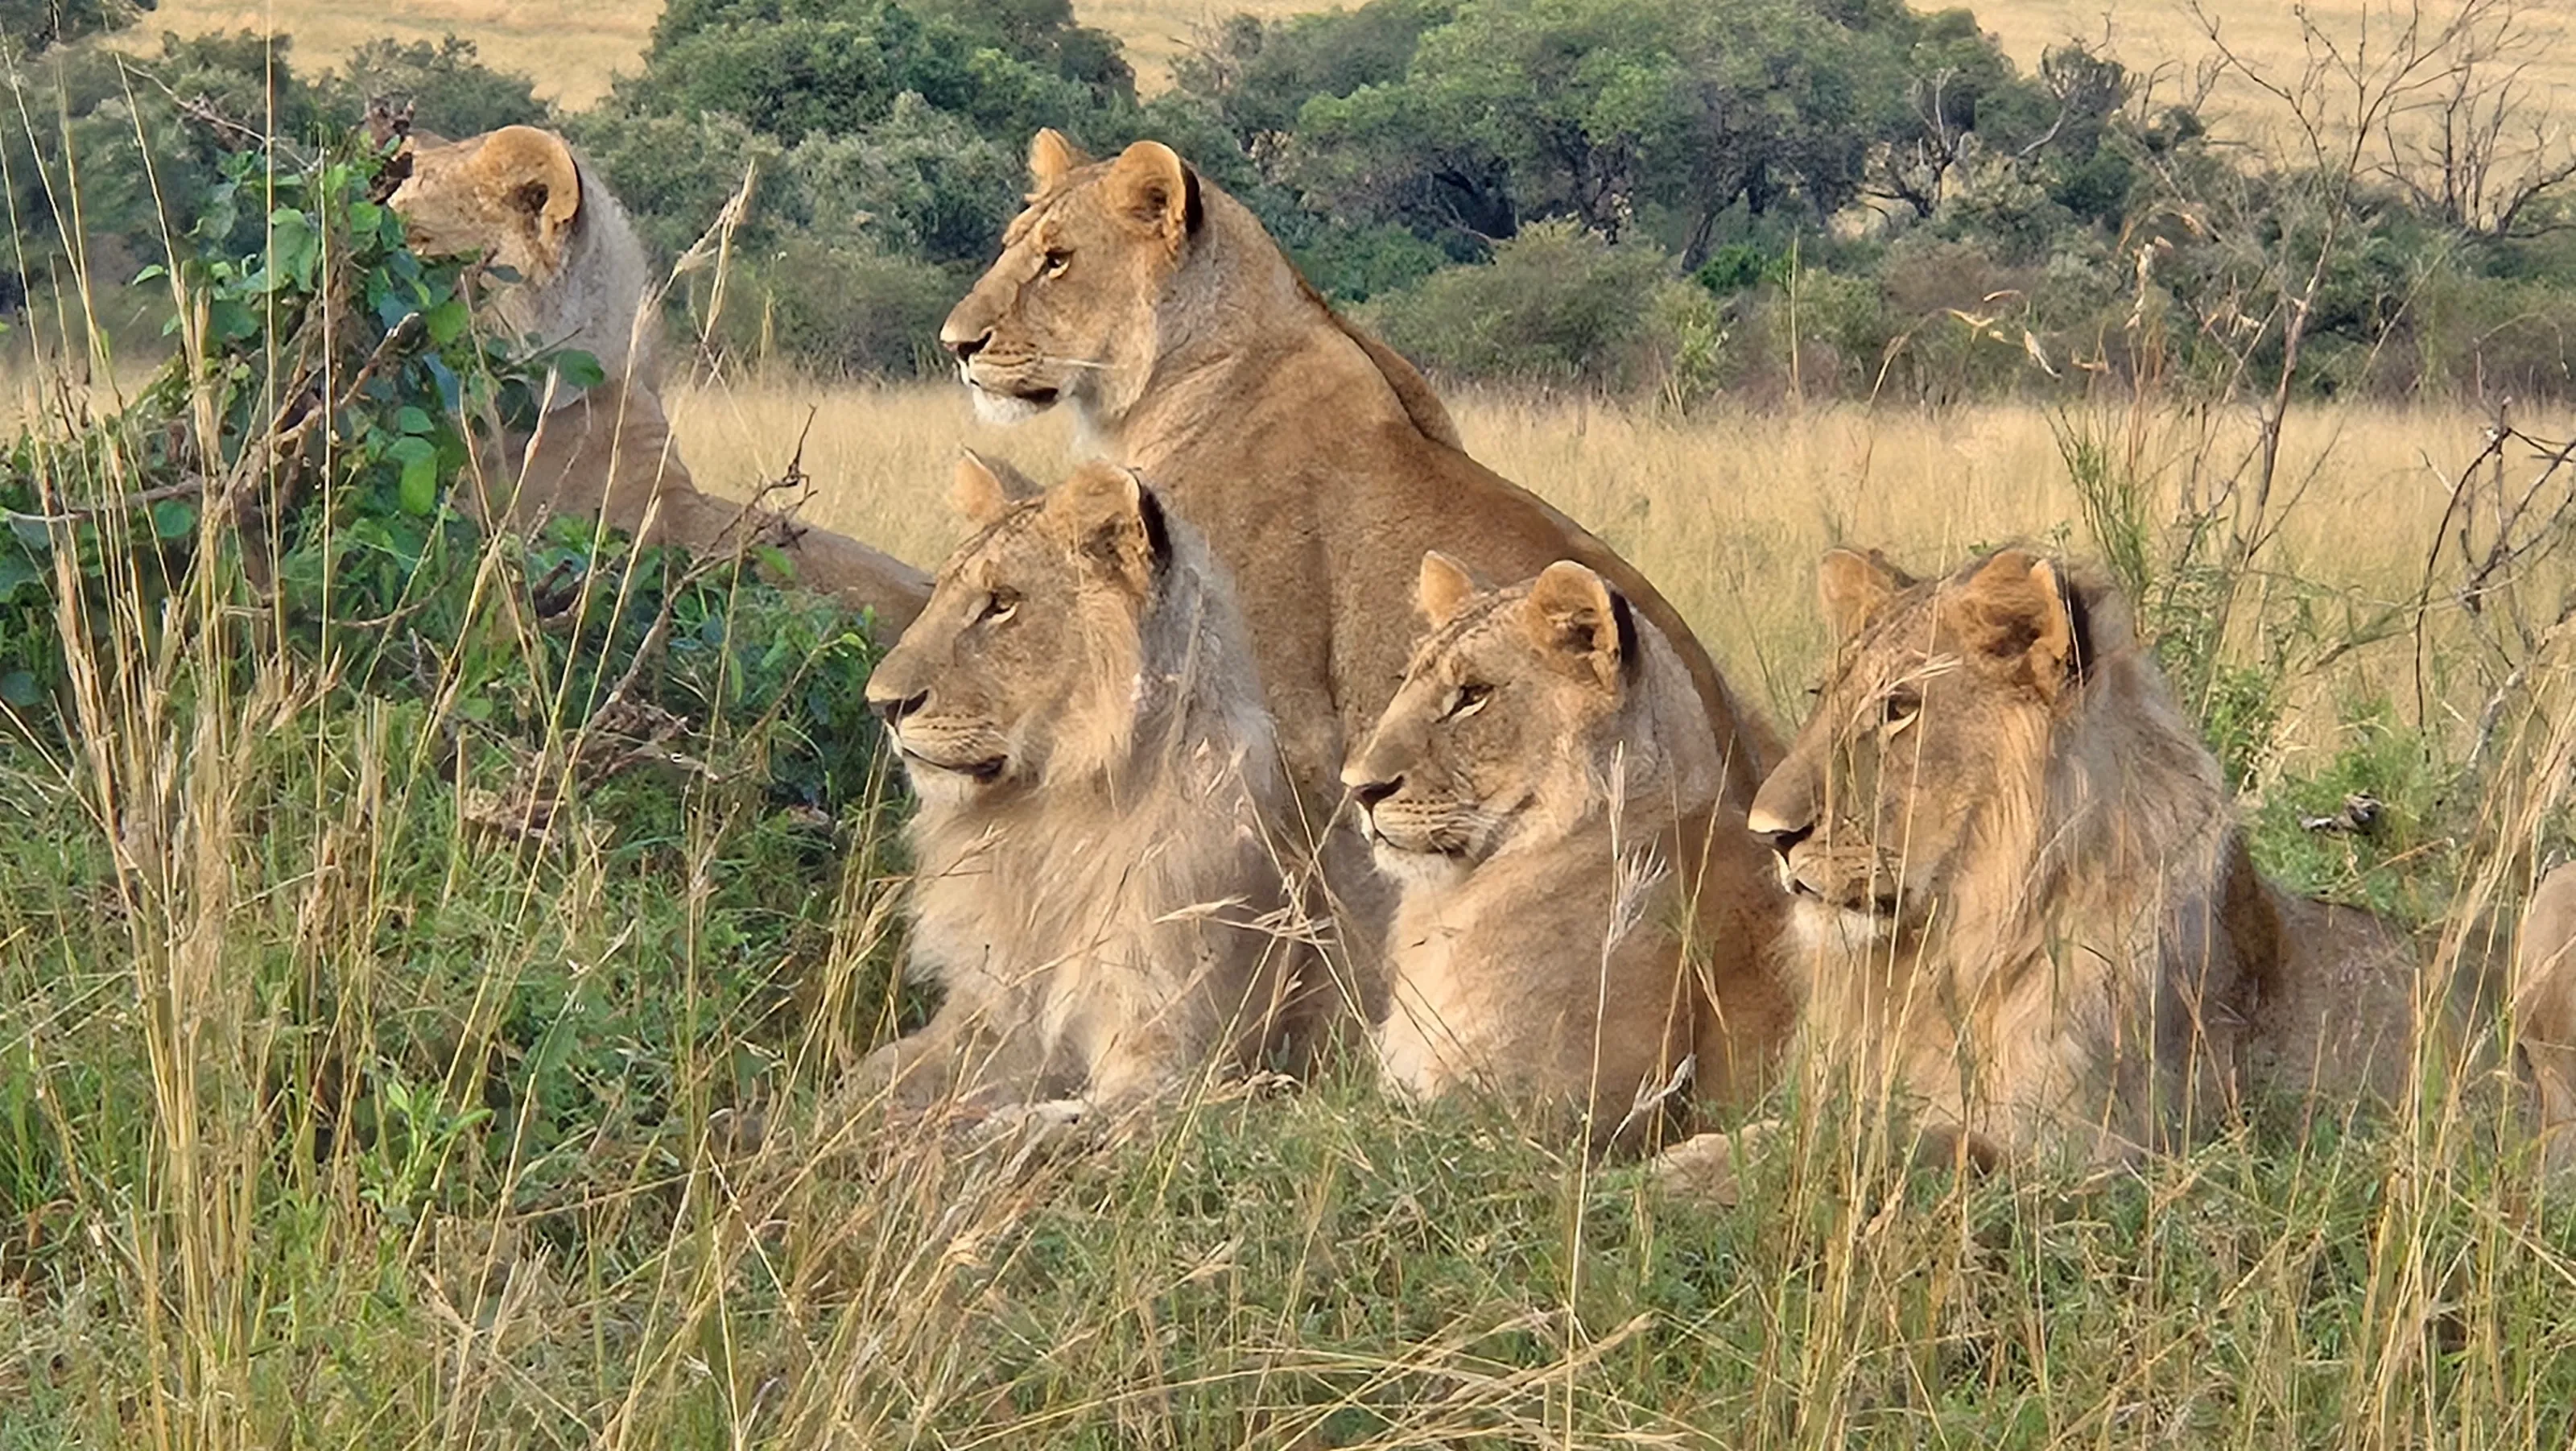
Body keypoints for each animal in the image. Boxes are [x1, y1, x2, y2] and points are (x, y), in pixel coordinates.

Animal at [851, 454, 1312, 1125]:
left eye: (1002, 604)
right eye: (939, 594)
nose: (882, 704)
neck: (1048, 818)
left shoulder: (1182, 1062)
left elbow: (1054, 1124)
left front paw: (977, 1132)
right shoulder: (989, 1014)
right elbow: (870, 1077)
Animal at [1733, 546, 2435, 1168]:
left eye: (1898, 710)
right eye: (1822, 695)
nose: (1768, 833)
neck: (1946, 958)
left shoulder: (2092, 1150)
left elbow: (1881, 1146)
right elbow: (1772, 1136)